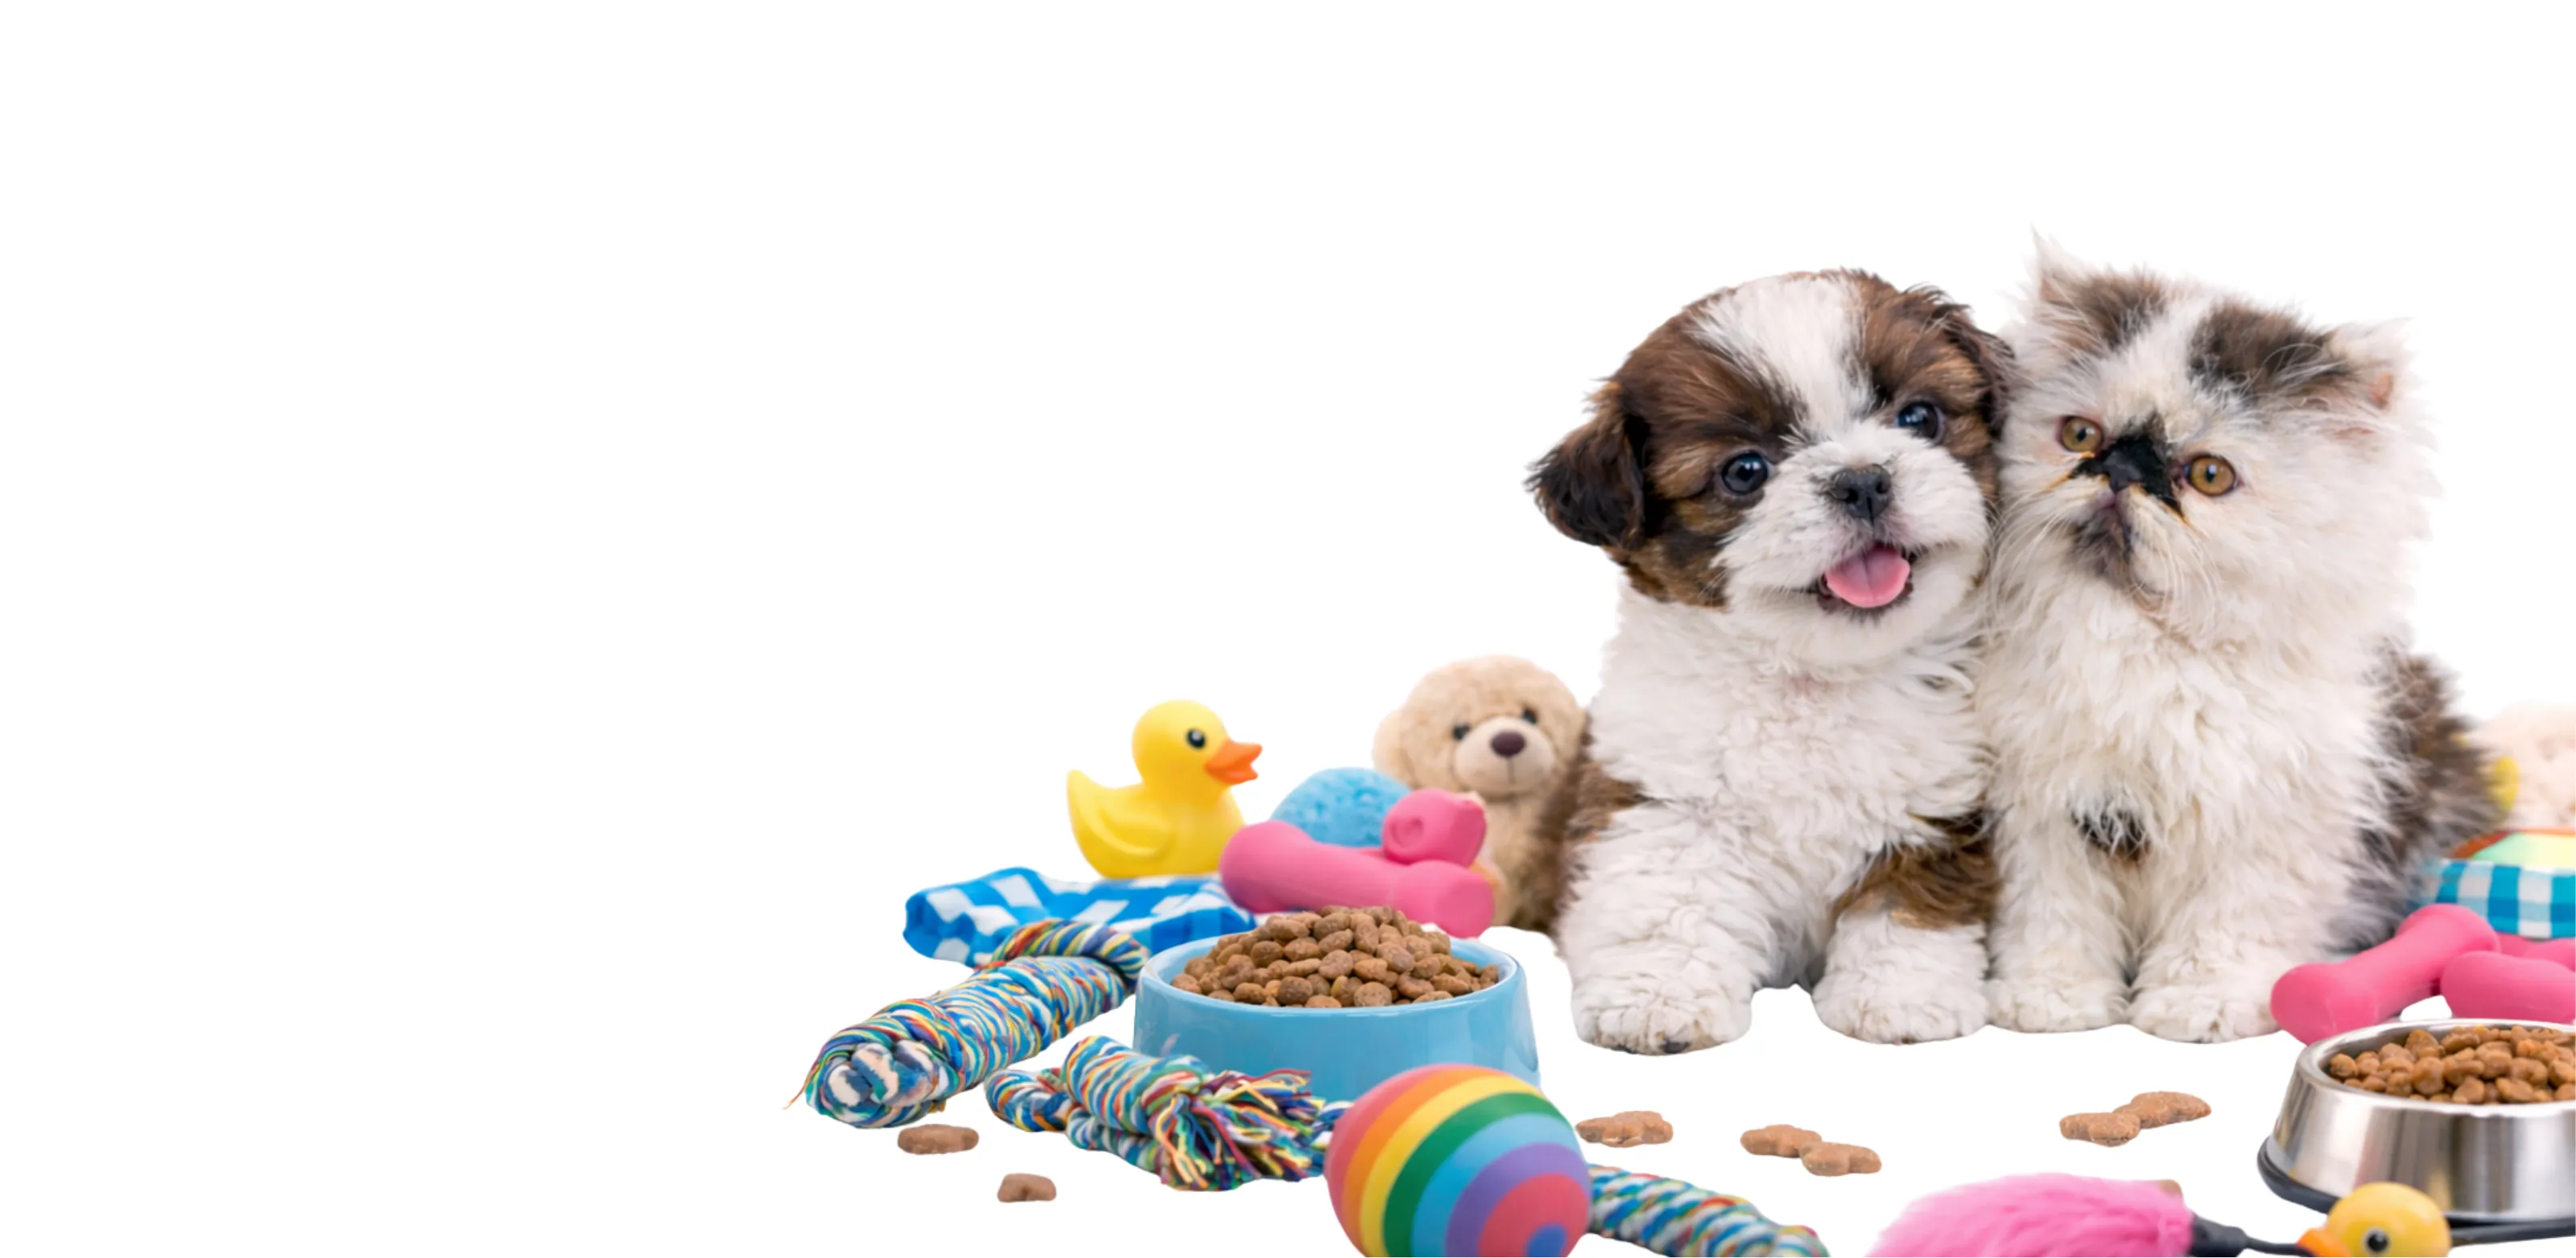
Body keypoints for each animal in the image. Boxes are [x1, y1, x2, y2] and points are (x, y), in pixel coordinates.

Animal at [1528, 270, 2011, 1051]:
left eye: (1919, 418)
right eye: (1745, 471)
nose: (1862, 479)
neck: (1811, 677)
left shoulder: (1936, 807)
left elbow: (1906, 906)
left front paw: (1898, 996)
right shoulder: (1663, 795)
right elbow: (1667, 898)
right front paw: (1657, 996)